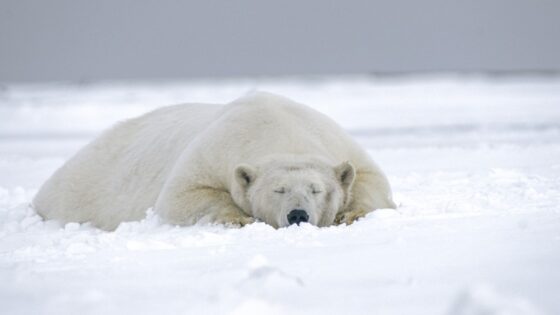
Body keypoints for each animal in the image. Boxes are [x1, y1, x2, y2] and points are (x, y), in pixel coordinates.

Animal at [32, 92, 396, 231]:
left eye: (316, 189)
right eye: (278, 190)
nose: (297, 215)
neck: (277, 127)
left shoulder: (335, 141)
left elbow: (371, 180)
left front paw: (351, 213)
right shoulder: (215, 150)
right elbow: (181, 197)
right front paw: (241, 219)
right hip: (79, 190)